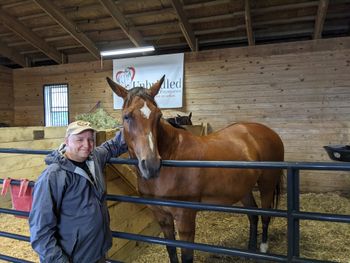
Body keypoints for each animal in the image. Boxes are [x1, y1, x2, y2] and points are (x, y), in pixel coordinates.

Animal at [106, 75, 284, 262]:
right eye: (127, 116)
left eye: (158, 115)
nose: (151, 165)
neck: (172, 155)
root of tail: (270, 132)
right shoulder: (163, 218)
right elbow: (171, 251)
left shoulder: (185, 220)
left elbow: (186, 257)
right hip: (244, 189)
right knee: (253, 215)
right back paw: (250, 250)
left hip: (267, 185)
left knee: (265, 216)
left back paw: (263, 248)